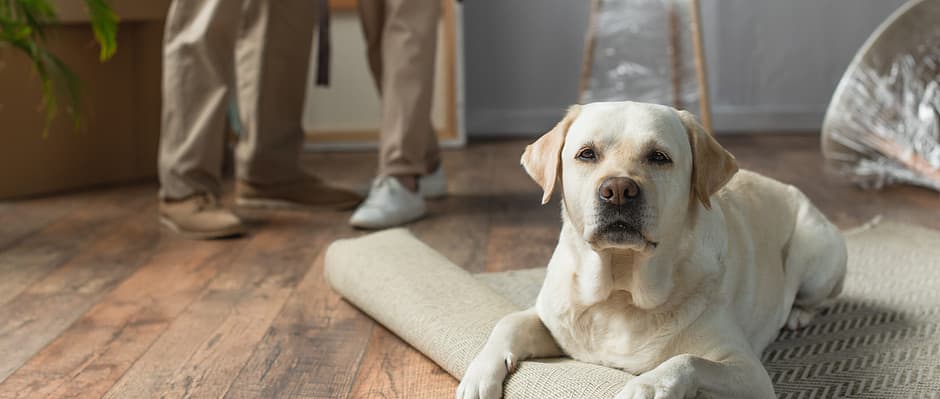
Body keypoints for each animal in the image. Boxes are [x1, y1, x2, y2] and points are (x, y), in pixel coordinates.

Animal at [458, 101, 848, 398]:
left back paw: (797, 312)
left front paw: (643, 386)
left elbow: (687, 360)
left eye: (659, 157)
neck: (620, 292)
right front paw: (479, 374)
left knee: (818, 296)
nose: (617, 190)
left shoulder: (748, 371)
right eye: (587, 154)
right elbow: (508, 322)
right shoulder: (553, 321)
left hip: (815, 255)